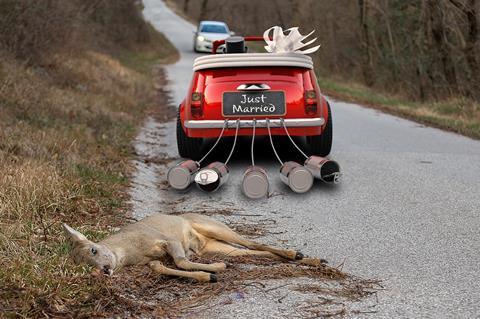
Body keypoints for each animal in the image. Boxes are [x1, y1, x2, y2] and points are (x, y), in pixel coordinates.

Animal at [62, 214, 326, 284]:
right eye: (83, 266)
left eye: (94, 251)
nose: (104, 270)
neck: (128, 252)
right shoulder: (150, 261)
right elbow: (162, 268)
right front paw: (208, 274)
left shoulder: (166, 239)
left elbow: (180, 260)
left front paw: (215, 270)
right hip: (216, 246)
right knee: (254, 252)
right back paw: (311, 260)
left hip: (214, 226)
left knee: (252, 242)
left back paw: (298, 254)